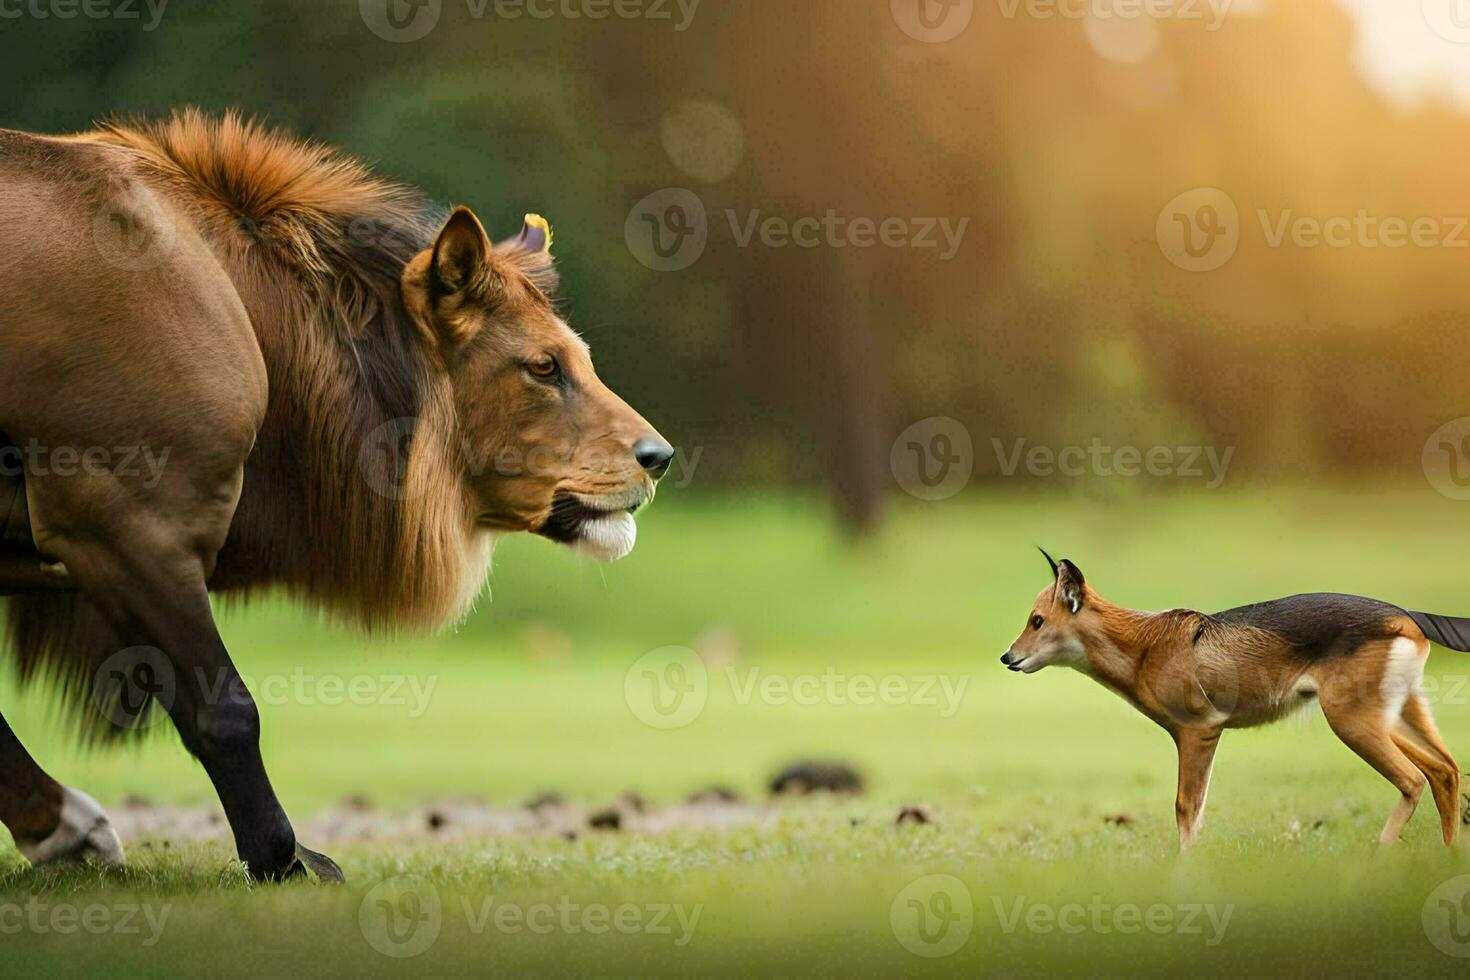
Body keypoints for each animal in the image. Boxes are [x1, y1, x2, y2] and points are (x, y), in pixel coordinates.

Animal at [1005, 552, 1464, 852]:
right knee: (1446, 770)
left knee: (1414, 779)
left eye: (1037, 620)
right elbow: (1197, 812)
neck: (1145, 647)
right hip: (1398, 716)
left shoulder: (1199, 732)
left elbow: (1185, 808)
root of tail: (1407, 616)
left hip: (1353, 723)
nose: (1008, 657)